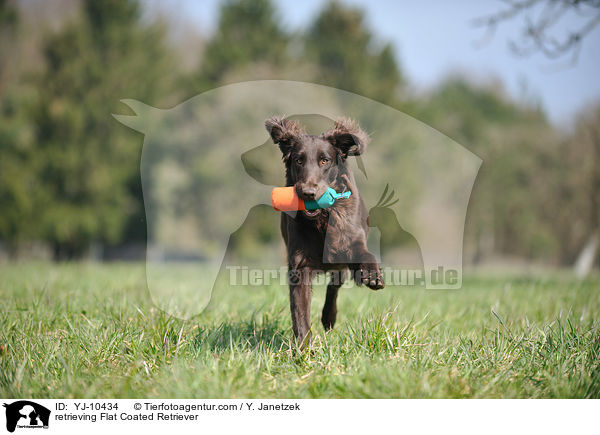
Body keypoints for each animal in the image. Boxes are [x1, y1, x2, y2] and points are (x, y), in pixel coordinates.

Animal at [264, 116, 384, 348]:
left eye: (324, 161)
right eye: (298, 161)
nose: (308, 193)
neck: (321, 220)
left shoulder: (351, 242)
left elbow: (365, 254)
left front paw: (372, 275)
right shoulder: (299, 267)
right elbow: (300, 314)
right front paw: (303, 349)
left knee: (335, 285)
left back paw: (330, 316)